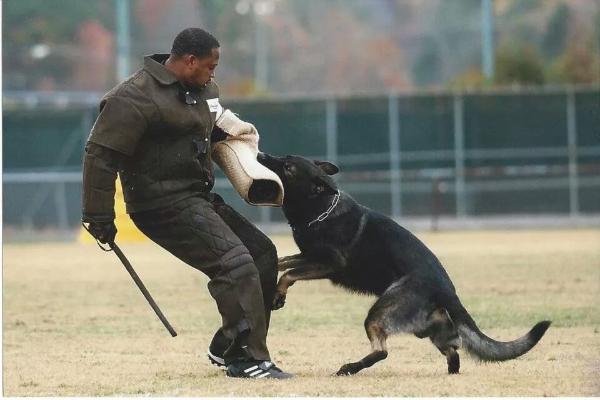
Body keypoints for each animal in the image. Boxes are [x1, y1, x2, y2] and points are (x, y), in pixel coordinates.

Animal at [255, 152, 552, 376]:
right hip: (428, 328)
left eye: (288, 166)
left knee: (383, 351)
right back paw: (450, 372)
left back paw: (350, 367)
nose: (260, 155)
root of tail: (446, 289)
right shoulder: (309, 256)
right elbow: (283, 262)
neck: (320, 206)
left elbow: (289, 274)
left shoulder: (328, 263)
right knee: (453, 348)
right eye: (284, 157)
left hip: (379, 313)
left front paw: (278, 294)